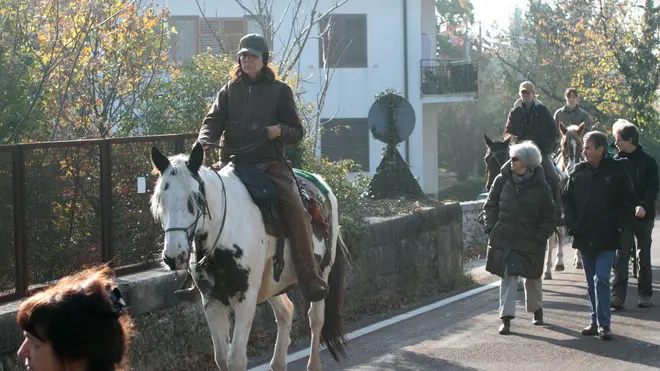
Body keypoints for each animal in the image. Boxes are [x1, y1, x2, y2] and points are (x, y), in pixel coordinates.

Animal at [147, 143, 348, 371]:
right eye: (160, 201)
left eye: (195, 198)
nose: (174, 256)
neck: (223, 228)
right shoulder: (212, 300)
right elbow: (221, 358)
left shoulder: (245, 298)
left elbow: (235, 359)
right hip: (272, 283)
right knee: (286, 312)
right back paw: (278, 362)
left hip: (322, 270)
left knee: (316, 318)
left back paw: (313, 363)